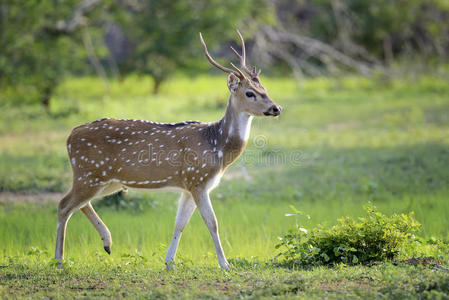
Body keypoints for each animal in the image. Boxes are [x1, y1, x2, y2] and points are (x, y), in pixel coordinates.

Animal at [55, 30, 280, 270]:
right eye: (249, 93)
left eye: (265, 89)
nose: (276, 108)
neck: (217, 146)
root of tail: (70, 136)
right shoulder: (197, 179)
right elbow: (212, 222)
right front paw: (225, 264)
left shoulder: (189, 186)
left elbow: (179, 223)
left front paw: (169, 262)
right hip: (89, 173)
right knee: (63, 204)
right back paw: (60, 259)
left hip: (107, 180)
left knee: (78, 204)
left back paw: (107, 243)